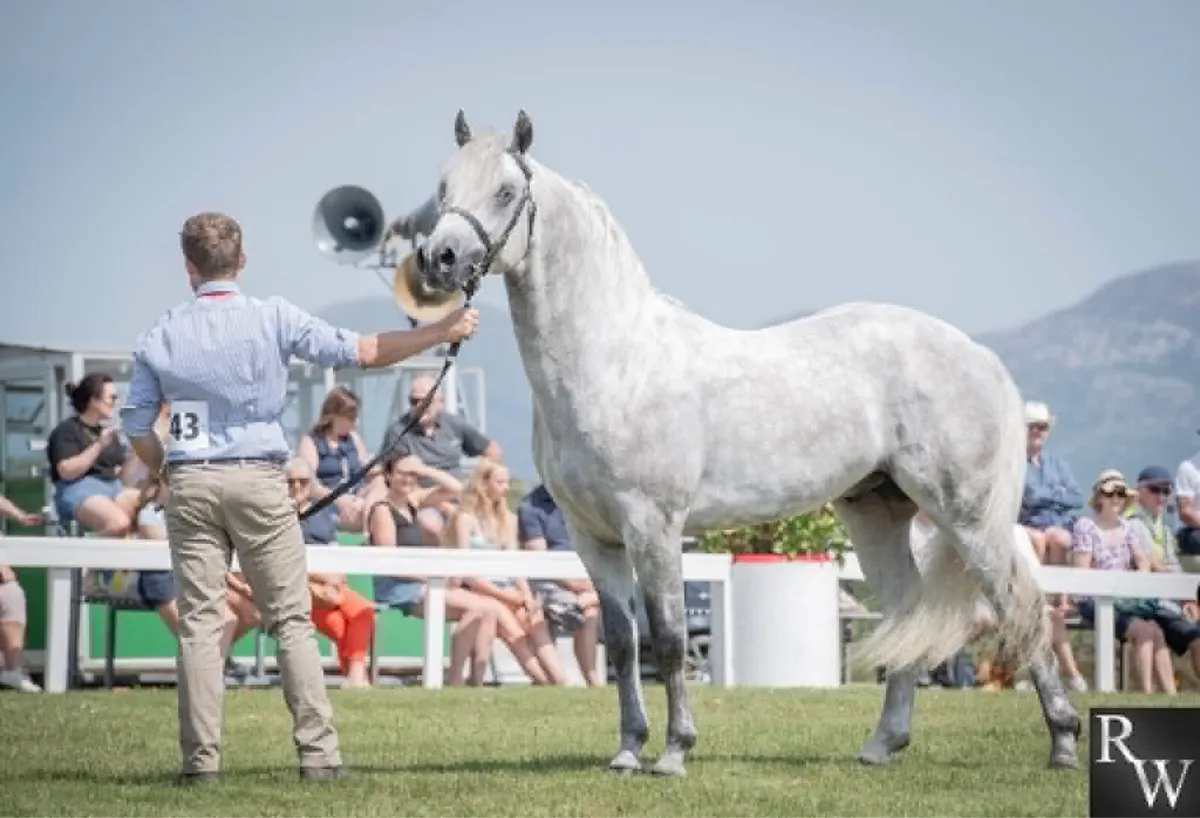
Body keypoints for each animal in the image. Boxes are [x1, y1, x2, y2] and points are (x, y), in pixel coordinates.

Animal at [404, 109, 1081, 778]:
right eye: (444, 187)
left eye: (505, 192)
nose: (439, 259)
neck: (613, 360)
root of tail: (978, 355)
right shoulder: (592, 537)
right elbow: (622, 644)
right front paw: (627, 750)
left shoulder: (653, 526)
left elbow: (670, 639)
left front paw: (674, 752)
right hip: (877, 514)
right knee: (908, 612)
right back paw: (882, 744)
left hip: (967, 517)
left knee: (1020, 608)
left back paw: (1064, 744)